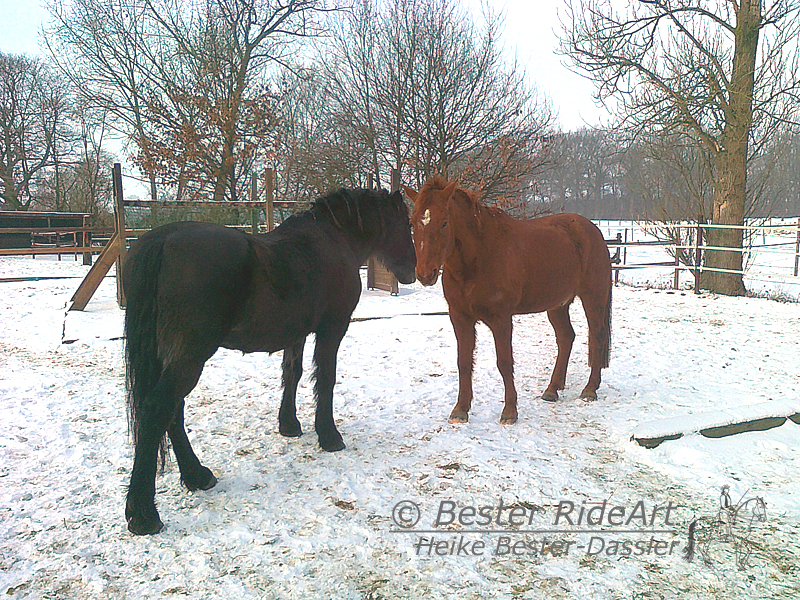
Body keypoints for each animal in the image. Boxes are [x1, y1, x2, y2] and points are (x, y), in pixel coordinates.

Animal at [123, 188, 418, 536]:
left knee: (172, 411)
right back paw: (143, 512)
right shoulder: (332, 328)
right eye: (406, 223)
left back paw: (196, 476)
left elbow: (293, 374)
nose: (412, 269)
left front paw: (289, 424)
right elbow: (326, 379)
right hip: (190, 354)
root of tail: (163, 238)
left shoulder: (297, 333)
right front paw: (329, 435)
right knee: (158, 408)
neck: (334, 238)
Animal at [406, 176, 612, 424]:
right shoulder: (460, 317)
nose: (425, 274)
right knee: (566, 338)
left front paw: (510, 411)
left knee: (597, 336)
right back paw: (552, 389)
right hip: (557, 305)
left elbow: (504, 362)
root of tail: (593, 231)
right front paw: (460, 410)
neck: (479, 257)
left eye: (444, 223)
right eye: (412, 223)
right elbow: (463, 362)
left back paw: (590, 389)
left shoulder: (501, 319)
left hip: (593, 297)